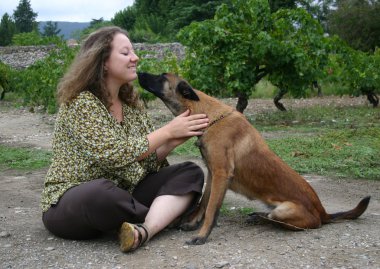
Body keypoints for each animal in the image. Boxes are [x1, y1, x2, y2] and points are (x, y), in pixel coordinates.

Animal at [137, 72, 372, 244]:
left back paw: (260, 218)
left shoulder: (221, 174)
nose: (139, 71)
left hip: (285, 210)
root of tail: (323, 213)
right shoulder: (213, 173)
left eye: (161, 77)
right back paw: (257, 216)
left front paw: (202, 235)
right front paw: (193, 223)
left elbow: (212, 208)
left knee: (281, 223)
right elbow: (204, 202)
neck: (208, 115)